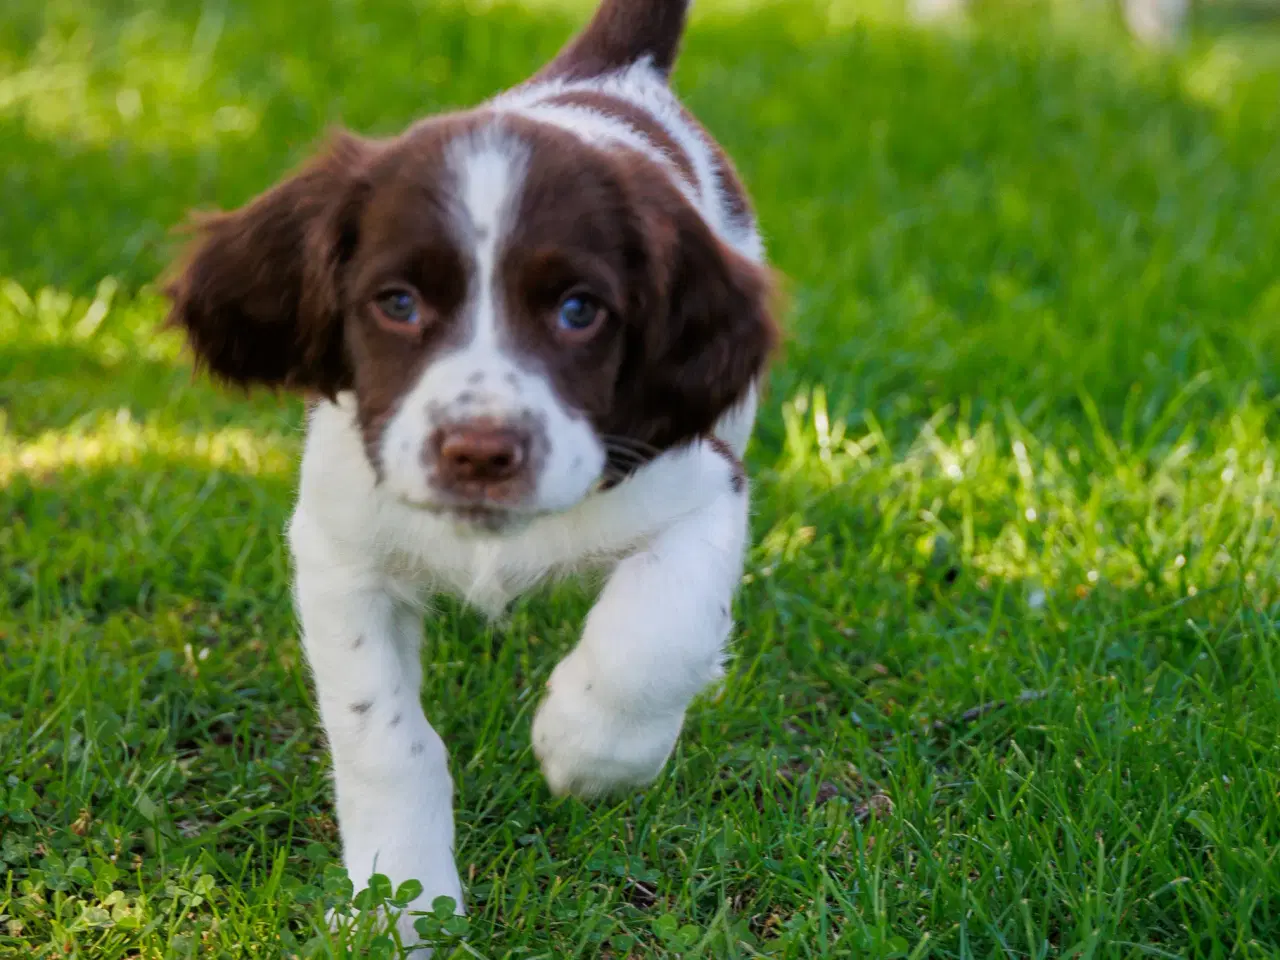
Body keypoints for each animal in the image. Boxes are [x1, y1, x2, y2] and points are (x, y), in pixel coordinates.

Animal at [166, 0, 773, 947]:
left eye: (578, 311)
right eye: (398, 303)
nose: (481, 451)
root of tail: (606, 74)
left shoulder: (704, 486)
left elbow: (655, 633)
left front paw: (589, 748)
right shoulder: (340, 551)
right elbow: (385, 738)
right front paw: (399, 903)